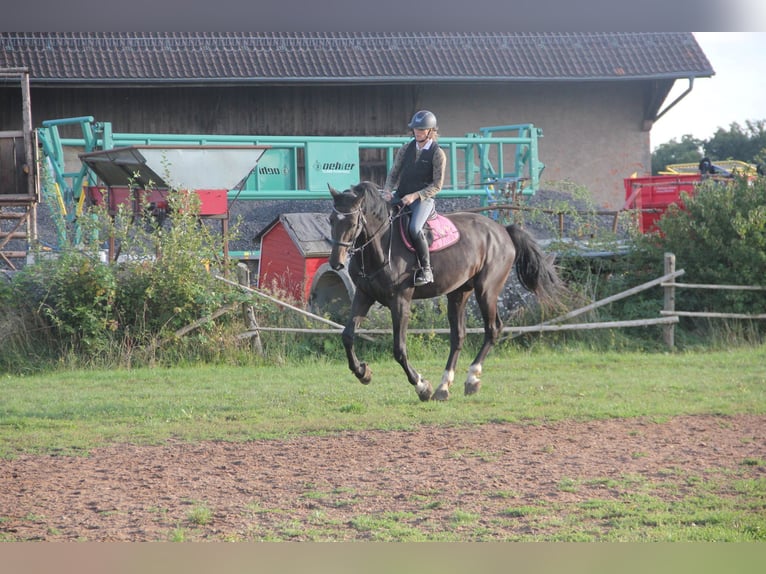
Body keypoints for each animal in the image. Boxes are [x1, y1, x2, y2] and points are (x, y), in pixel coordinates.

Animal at [328, 181, 563, 401]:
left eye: (352, 223)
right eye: (331, 220)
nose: (336, 263)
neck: (382, 244)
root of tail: (502, 230)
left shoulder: (400, 301)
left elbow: (399, 350)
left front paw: (422, 386)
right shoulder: (364, 295)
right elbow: (347, 336)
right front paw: (363, 372)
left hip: (486, 291)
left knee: (493, 329)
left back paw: (472, 379)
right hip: (459, 293)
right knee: (458, 336)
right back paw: (444, 386)